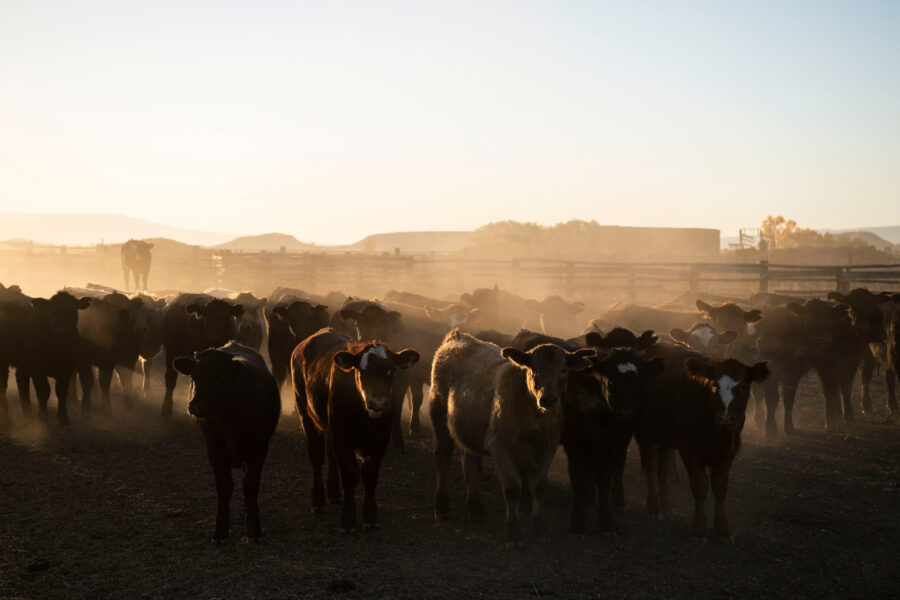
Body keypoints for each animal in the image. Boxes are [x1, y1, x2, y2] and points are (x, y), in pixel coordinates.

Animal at [172, 340, 278, 540]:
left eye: (220, 378)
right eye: (194, 378)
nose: (195, 406)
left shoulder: (259, 449)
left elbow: (250, 485)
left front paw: (253, 529)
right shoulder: (214, 450)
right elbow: (224, 486)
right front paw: (220, 531)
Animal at [292, 328, 418, 536]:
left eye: (391, 370)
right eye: (361, 371)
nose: (377, 402)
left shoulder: (381, 439)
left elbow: (370, 475)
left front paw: (371, 516)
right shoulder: (342, 436)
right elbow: (350, 474)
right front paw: (348, 519)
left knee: (331, 457)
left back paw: (334, 492)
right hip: (306, 413)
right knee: (317, 458)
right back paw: (318, 501)